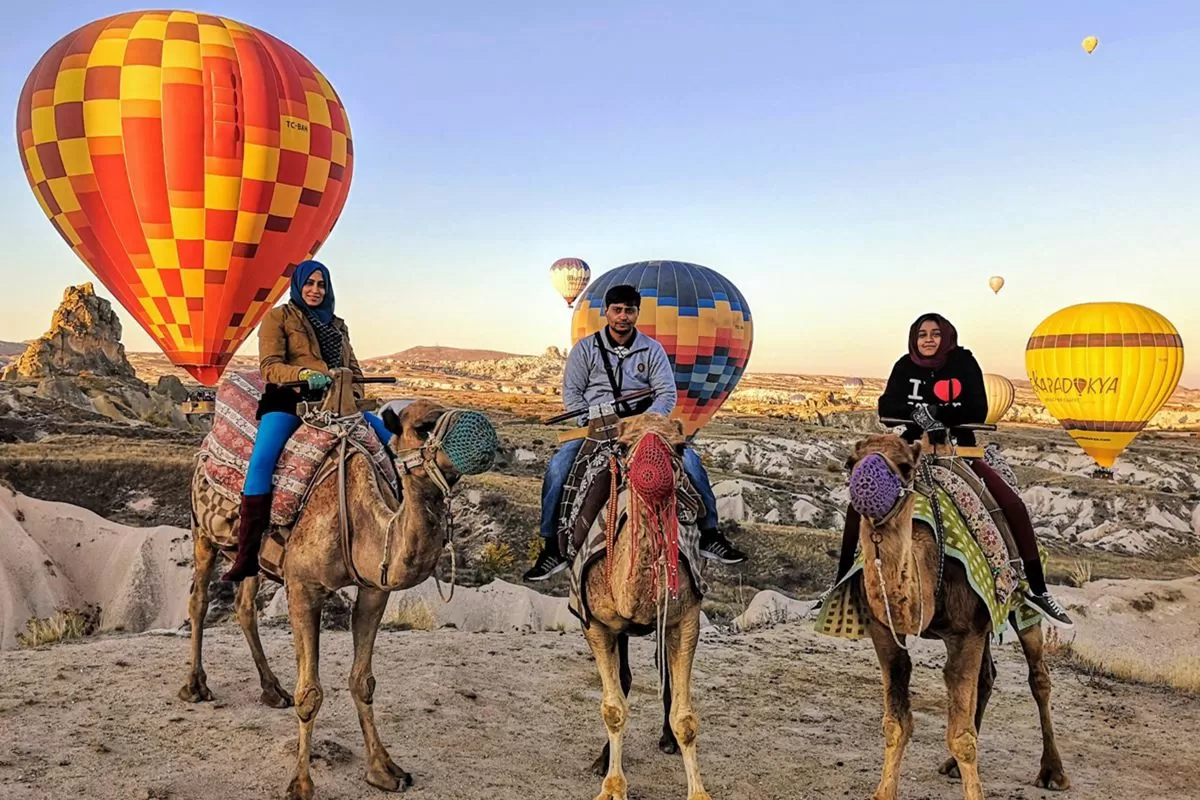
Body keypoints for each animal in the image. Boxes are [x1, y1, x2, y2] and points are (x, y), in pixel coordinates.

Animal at [178, 398, 487, 796]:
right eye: (423, 426)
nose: (482, 434)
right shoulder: (303, 587)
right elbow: (310, 692)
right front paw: (301, 785)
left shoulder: (375, 589)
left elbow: (363, 681)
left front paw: (384, 770)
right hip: (202, 529)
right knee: (198, 599)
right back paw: (195, 686)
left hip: (254, 558)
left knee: (244, 606)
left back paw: (272, 691)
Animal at [580, 412, 710, 800]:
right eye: (622, 446)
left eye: (681, 447)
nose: (651, 472)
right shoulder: (595, 623)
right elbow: (612, 709)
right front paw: (612, 787)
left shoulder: (686, 619)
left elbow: (685, 718)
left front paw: (698, 791)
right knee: (623, 678)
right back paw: (601, 760)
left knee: (663, 674)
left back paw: (665, 741)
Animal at [844, 434, 1070, 800]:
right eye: (850, 463)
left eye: (905, 466)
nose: (866, 484)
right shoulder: (885, 631)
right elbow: (896, 724)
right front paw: (883, 792)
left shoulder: (965, 632)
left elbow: (962, 737)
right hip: (985, 622)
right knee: (987, 676)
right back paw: (950, 765)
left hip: (1019, 607)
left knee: (1039, 678)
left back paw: (1054, 772)